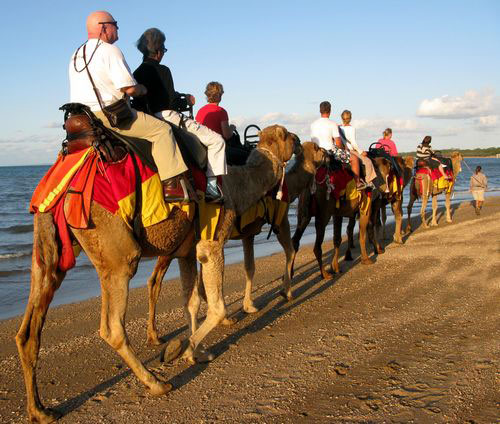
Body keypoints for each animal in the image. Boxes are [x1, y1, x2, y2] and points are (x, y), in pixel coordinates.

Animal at [15, 124, 296, 422]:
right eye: (287, 135)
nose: (299, 140)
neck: (237, 183)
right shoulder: (212, 241)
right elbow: (217, 308)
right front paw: (185, 350)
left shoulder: (186, 250)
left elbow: (191, 302)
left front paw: (199, 351)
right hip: (115, 248)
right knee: (112, 327)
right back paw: (156, 383)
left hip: (49, 247)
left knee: (29, 329)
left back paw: (40, 410)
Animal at [144, 141, 328, 346]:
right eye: (317, 149)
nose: (328, 153)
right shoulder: (280, 221)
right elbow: (288, 252)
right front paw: (284, 293)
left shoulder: (247, 233)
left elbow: (248, 267)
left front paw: (246, 306)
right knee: (155, 280)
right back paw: (154, 335)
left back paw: (156, 334)